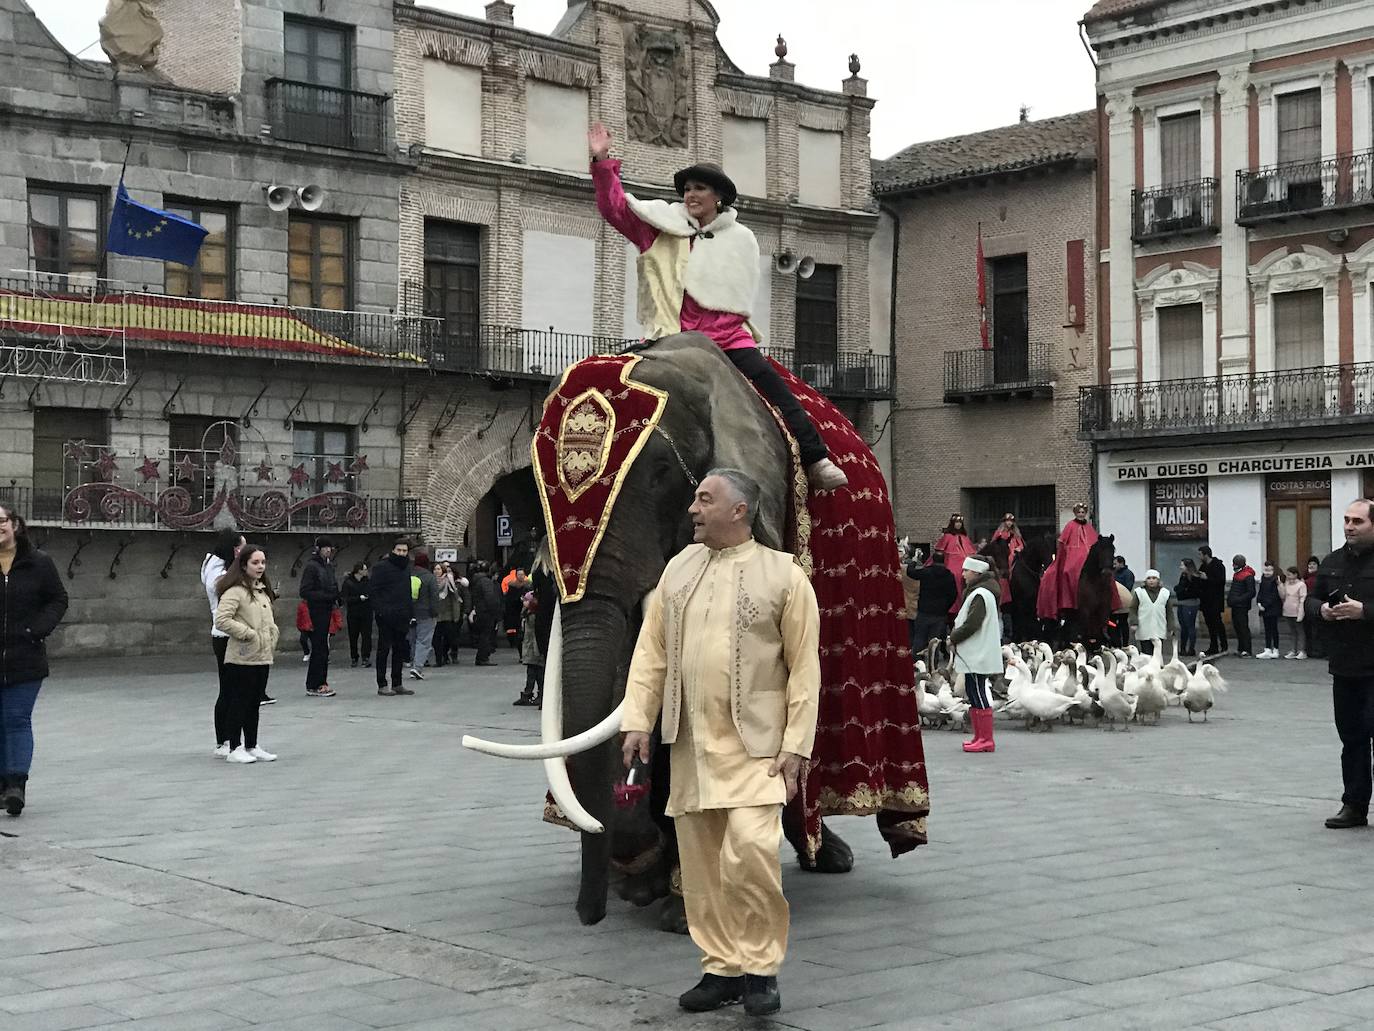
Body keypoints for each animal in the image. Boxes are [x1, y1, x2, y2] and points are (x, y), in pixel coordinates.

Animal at [467, 335, 928, 934]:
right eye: (537, 485)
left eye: (662, 471)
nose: (589, 914)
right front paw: (644, 877)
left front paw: (678, 904)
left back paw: (826, 858)